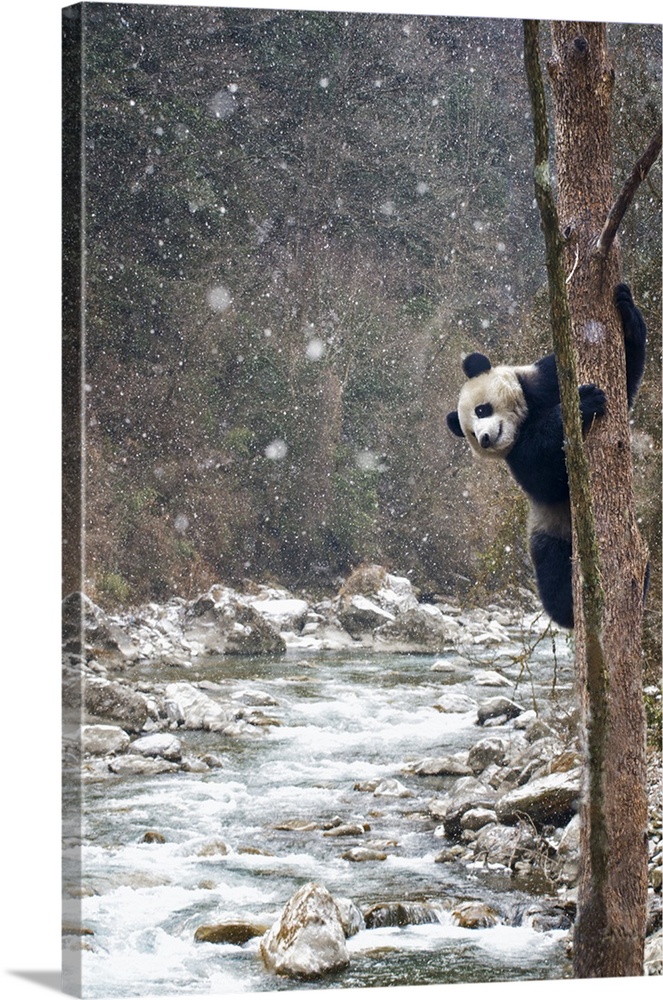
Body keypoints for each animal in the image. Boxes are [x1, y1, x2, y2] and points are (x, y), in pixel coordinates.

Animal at [446, 284, 648, 624]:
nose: (485, 438)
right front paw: (583, 403)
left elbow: (627, 377)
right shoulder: (517, 458)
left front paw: (626, 310)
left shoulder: (545, 377)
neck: (524, 417)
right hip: (548, 529)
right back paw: (572, 605)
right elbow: (543, 475)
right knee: (552, 571)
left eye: (482, 409)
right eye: (471, 433)